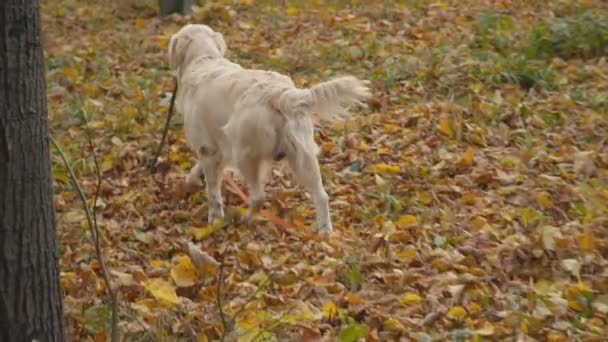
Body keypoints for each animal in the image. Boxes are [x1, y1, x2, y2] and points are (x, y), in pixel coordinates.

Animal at [167, 22, 370, 234]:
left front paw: (214, 218)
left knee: (258, 197)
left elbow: (213, 191)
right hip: (303, 157)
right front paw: (191, 179)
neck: (204, 59)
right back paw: (325, 233)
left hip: (245, 155)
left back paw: (245, 220)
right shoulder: (216, 148)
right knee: (321, 196)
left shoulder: (207, 148)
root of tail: (281, 95)